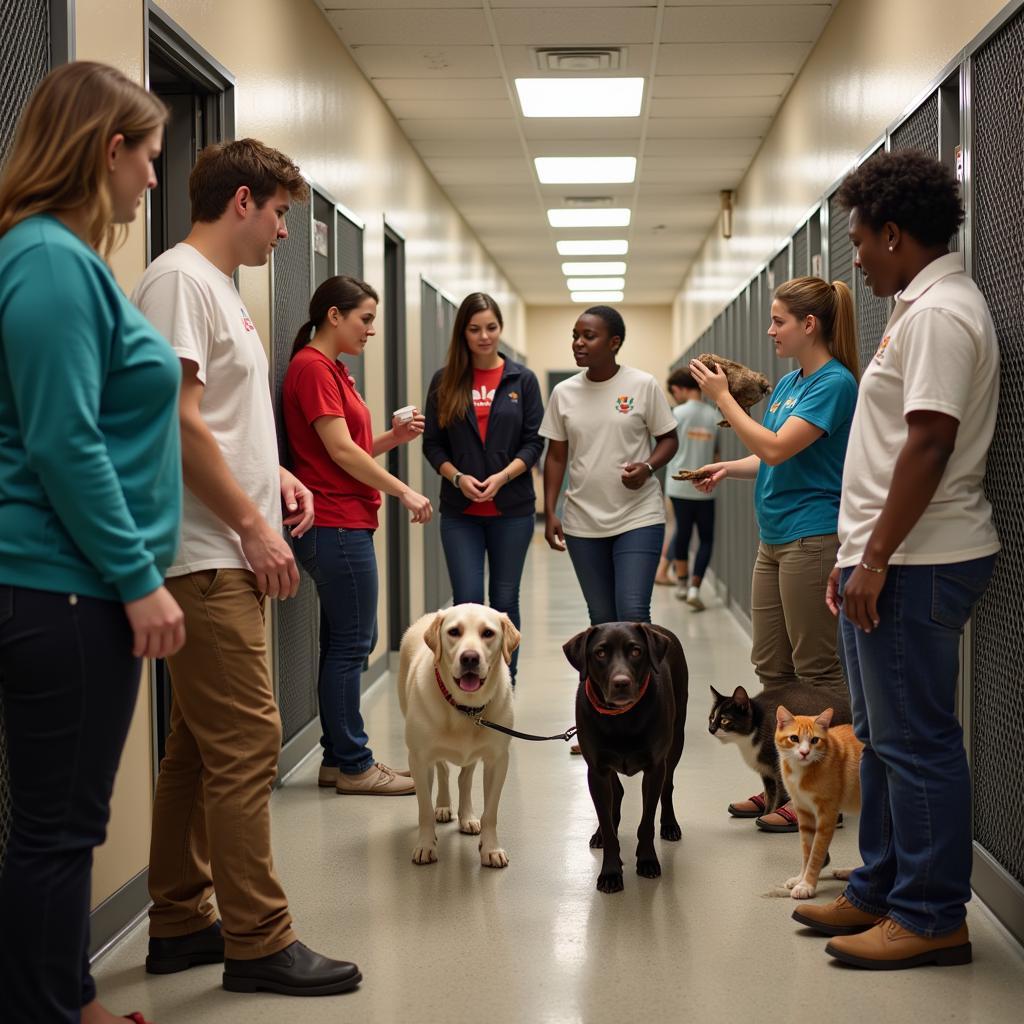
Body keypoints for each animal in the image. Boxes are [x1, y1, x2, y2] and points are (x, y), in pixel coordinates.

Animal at [397, 602, 520, 868]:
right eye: (454, 632)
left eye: (488, 633)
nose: (470, 657)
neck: (466, 707)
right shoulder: (419, 759)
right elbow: (424, 809)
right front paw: (425, 845)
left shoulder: (498, 760)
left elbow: (490, 812)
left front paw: (491, 848)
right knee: (442, 770)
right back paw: (443, 806)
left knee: (465, 778)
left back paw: (467, 816)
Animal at [561, 618, 688, 892]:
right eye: (600, 653)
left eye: (636, 651)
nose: (621, 682)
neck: (622, 718)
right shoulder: (596, 770)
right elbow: (609, 826)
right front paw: (610, 871)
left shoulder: (654, 768)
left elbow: (647, 820)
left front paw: (648, 860)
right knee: (615, 794)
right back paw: (600, 831)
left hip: (676, 741)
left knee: (668, 786)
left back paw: (669, 825)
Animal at [774, 708, 864, 901]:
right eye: (794, 738)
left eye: (815, 740)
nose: (804, 753)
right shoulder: (804, 812)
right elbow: (806, 852)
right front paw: (800, 878)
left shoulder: (826, 817)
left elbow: (815, 854)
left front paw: (807, 885)